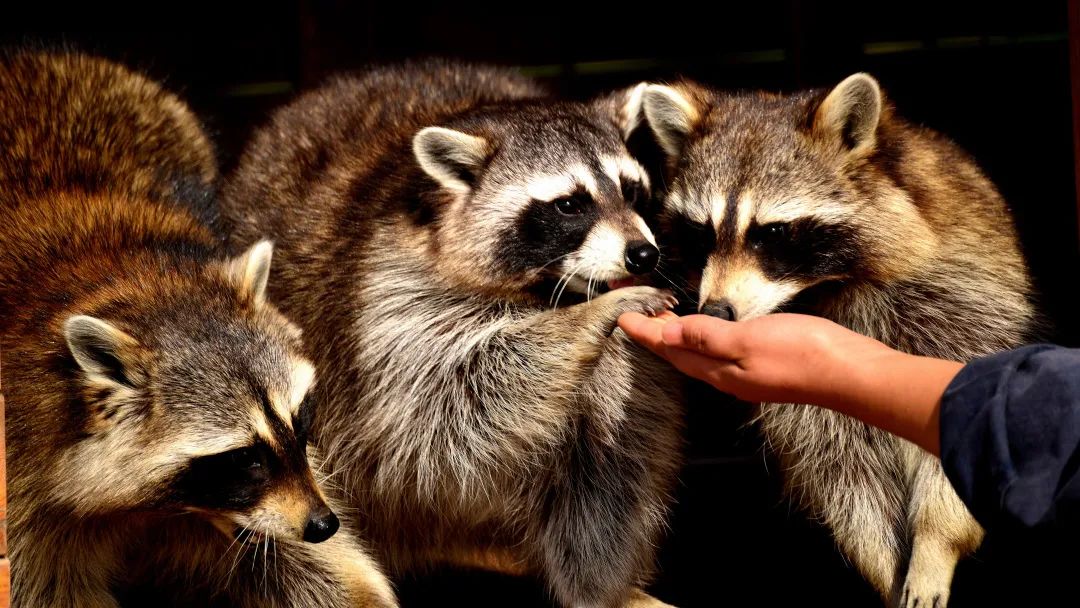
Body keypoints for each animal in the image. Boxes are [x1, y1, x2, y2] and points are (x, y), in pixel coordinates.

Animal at [0, 52, 397, 608]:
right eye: (243, 456)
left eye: (299, 420)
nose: (322, 524)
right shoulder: (23, 479)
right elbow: (45, 588)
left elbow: (314, 569)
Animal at [221, 63, 682, 608]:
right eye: (570, 205)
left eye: (631, 191)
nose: (643, 255)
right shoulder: (391, 301)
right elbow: (456, 396)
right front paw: (590, 318)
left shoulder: (628, 373)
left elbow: (608, 466)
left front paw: (599, 586)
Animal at [635, 73, 1032, 604]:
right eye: (702, 233)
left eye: (772, 232)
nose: (715, 311)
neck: (827, 284)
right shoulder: (813, 413)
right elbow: (845, 475)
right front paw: (887, 569)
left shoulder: (961, 301)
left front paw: (936, 543)